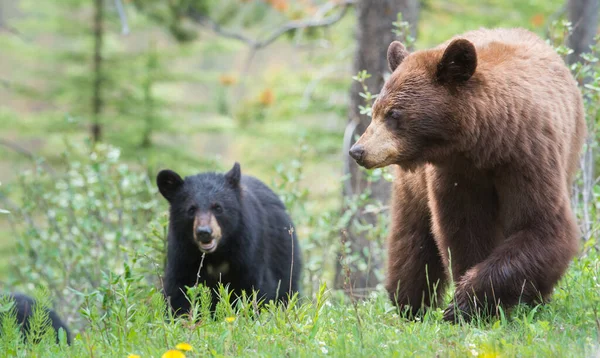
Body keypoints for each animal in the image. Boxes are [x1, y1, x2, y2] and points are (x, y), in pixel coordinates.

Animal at [157, 162, 302, 316]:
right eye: (191, 210)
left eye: (218, 207)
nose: (204, 232)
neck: (216, 254)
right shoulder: (182, 254)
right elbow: (178, 290)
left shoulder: (248, 251)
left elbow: (255, 289)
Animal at [346, 28, 584, 322]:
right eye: (375, 111)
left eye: (394, 113)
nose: (358, 150)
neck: (487, 144)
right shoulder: (456, 174)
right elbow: (464, 228)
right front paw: (468, 304)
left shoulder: (529, 158)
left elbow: (541, 225)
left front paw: (467, 301)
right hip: (413, 186)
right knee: (412, 238)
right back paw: (409, 304)